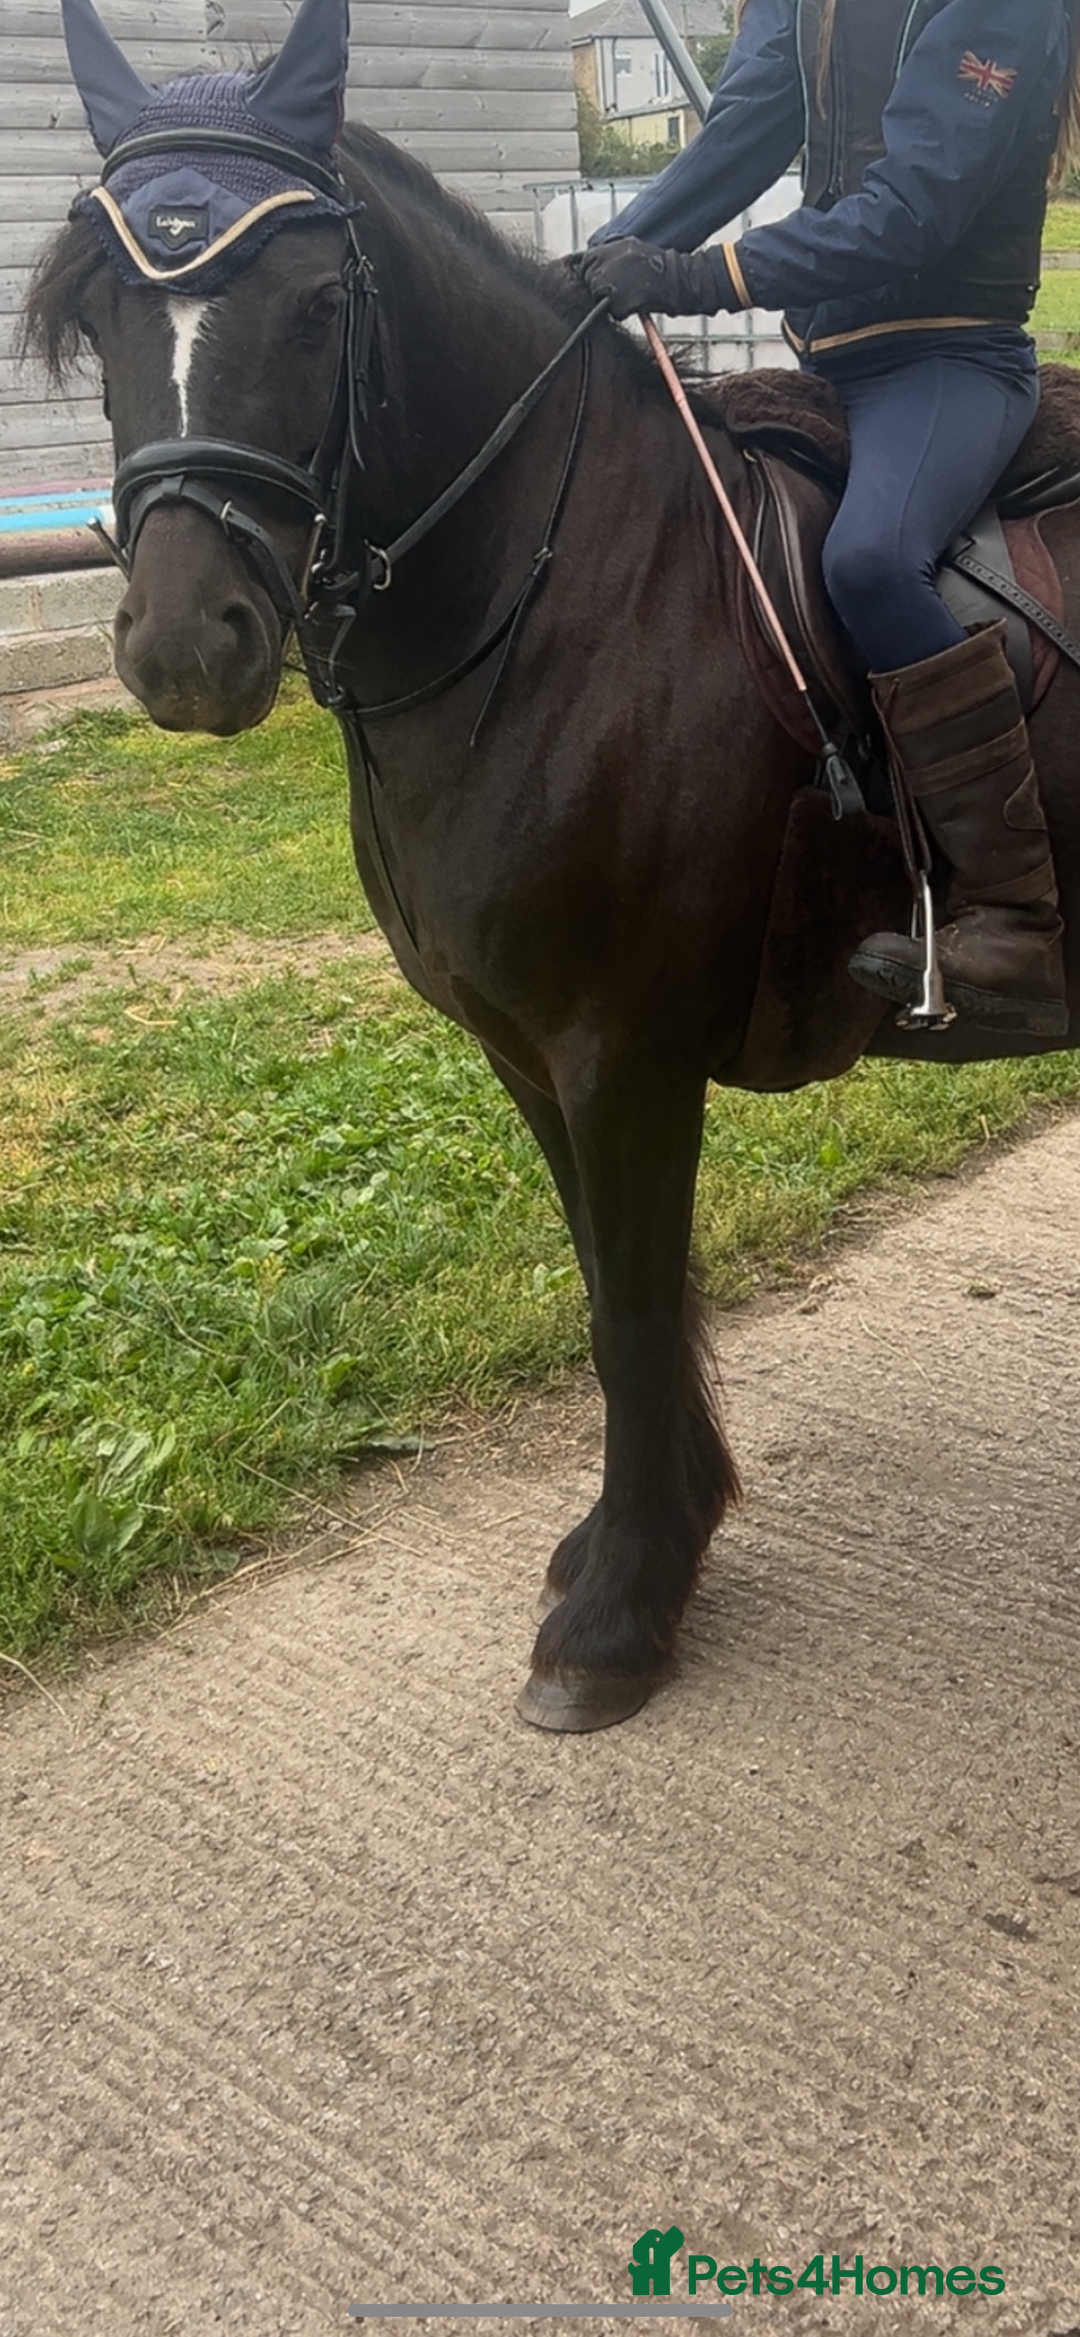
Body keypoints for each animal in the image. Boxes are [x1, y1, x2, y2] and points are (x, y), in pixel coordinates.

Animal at [26, 3, 1080, 1732]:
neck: (556, 587)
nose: (186, 647)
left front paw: (621, 1617)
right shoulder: (528, 1053)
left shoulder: (621, 1052)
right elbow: (603, 1300)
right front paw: (632, 1544)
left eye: (317, 303)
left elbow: (640, 1309)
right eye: (100, 305)